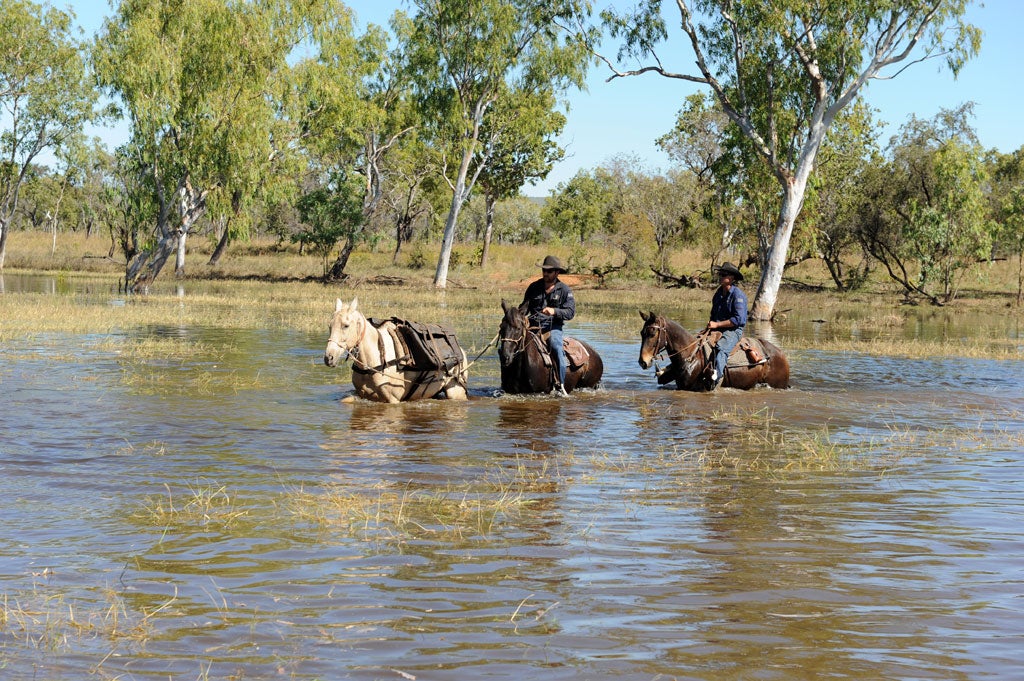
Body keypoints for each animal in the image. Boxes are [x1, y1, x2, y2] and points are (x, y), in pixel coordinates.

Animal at [324, 297, 469, 403]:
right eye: (329, 326)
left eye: (346, 326)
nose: (328, 358)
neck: (374, 362)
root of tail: (461, 351)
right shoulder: (361, 395)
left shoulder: (393, 400)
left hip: (456, 391)